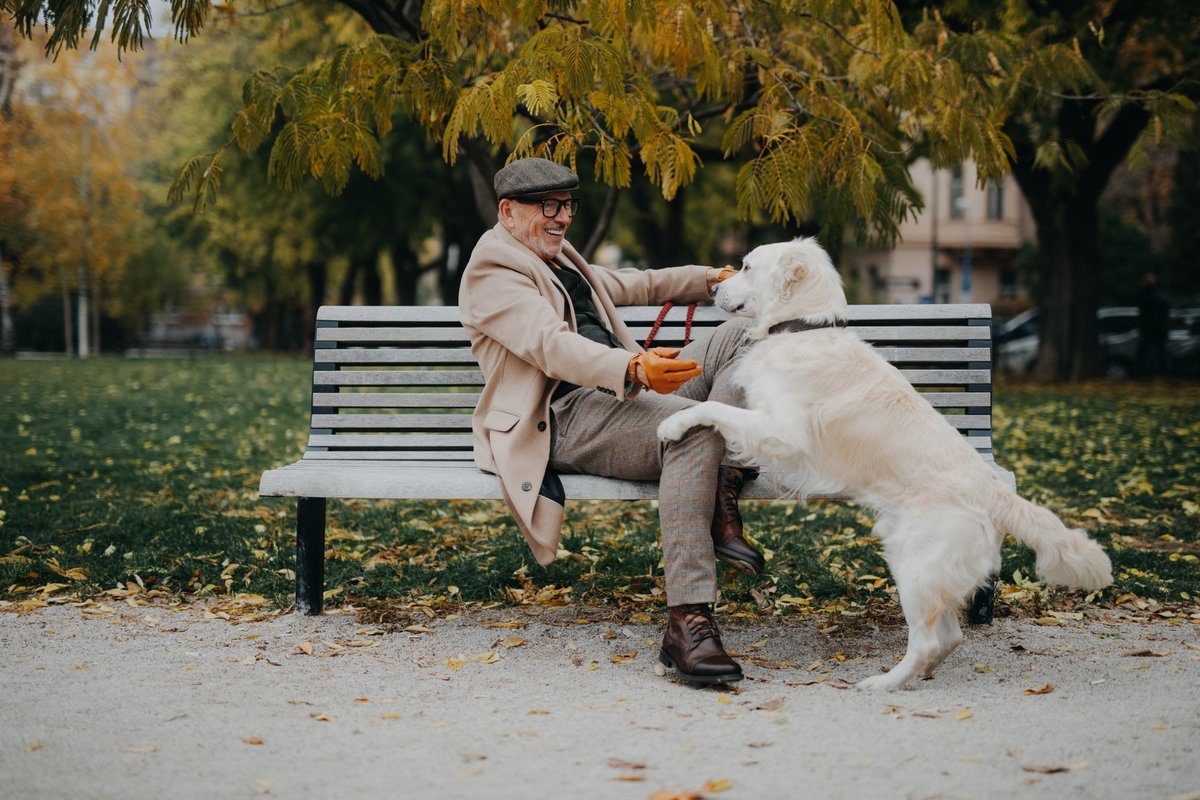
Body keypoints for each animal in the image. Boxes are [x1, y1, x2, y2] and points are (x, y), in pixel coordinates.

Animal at [662, 236, 1108, 690]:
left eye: (748, 267)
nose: (714, 289)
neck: (802, 329)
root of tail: (996, 491)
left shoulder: (784, 433)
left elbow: (714, 408)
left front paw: (672, 423)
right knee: (949, 636)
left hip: (915, 563)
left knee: (930, 640)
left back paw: (883, 684)